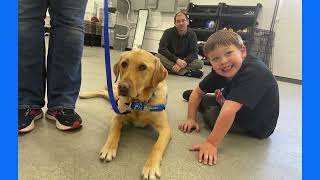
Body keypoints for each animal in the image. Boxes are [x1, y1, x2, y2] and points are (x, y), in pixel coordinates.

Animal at [79, 48, 171, 179]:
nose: (122, 86)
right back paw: (85, 94)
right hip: (115, 95)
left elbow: (157, 147)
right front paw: (109, 148)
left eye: (142, 67)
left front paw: (151, 167)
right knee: (104, 91)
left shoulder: (165, 129)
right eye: (124, 64)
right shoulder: (117, 117)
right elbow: (114, 132)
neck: (139, 103)